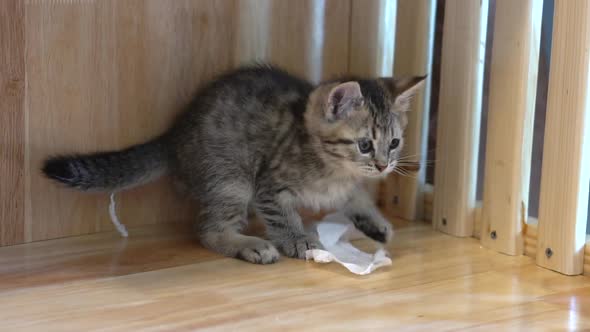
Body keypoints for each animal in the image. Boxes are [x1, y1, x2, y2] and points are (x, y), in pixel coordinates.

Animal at [44, 65, 428, 264]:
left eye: (394, 143)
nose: (384, 166)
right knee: (208, 230)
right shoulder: (268, 186)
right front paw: (299, 240)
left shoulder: (347, 184)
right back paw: (248, 244)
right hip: (231, 178)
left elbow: (356, 195)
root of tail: (175, 133)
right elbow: (283, 215)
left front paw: (376, 223)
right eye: (365, 145)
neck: (333, 168)